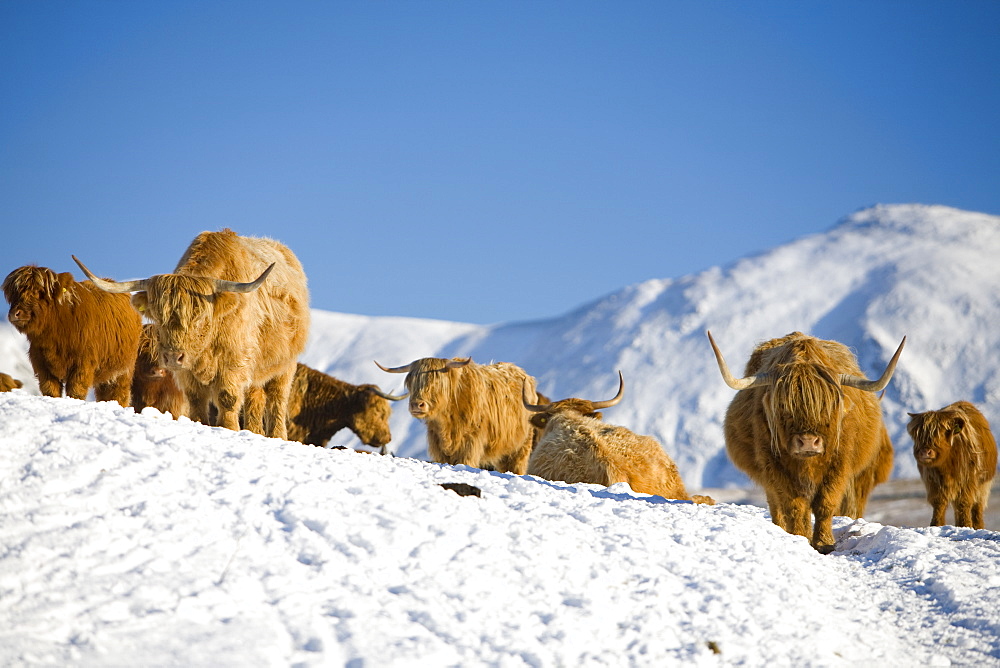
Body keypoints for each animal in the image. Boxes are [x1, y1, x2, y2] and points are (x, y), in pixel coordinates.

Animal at [73, 227, 308, 440]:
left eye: (200, 316)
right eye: (157, 316)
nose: (172, 357)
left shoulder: (234, 362)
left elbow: (228, 398)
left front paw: (230, 429)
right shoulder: (188, 374)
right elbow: (196, 402)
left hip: (285, 366)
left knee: (277, 400)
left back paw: (277, 436)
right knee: (255, 399)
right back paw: (254, 432)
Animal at [376, 354, 548, 474]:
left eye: (436, 381)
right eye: (411, 382)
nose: (416, 404)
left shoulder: (470, 444)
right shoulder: (439, 448)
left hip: (521, 446)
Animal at [708, 330, 904, 552]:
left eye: (828, 404)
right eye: (783, 406)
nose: (809, 442)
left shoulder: (840, 466)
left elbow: (825, 503)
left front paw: (824, 543)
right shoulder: (775, 467)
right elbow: (795, 506)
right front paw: (800, 537)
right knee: (776, 506)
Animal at [912, 400, 996, 528]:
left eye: (941, 433)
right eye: (918, 435)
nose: (925, 452)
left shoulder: (967, 483)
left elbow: (964, 504)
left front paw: (965, 526)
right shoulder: (933, 483)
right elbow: (939, 504)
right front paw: (936, 525)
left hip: (983, 486)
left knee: (976, 509)